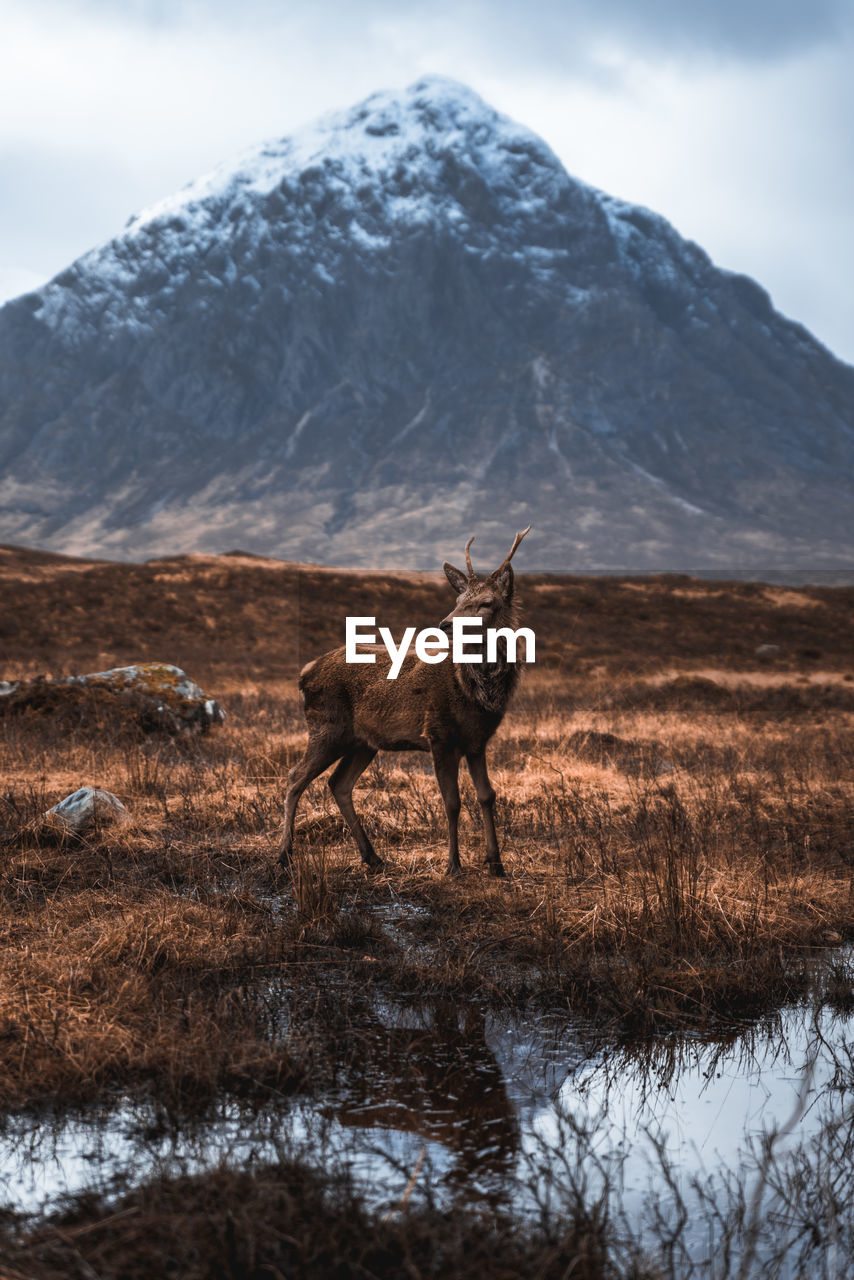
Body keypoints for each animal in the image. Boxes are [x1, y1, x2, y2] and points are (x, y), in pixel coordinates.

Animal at [280, 524, 530, 875]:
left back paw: (372, 856)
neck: (476, 694)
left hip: (362, 741)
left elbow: (487, 795)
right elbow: (452, 801)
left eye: (487, 602)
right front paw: (453, 865)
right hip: (326, 727)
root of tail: (305, 672)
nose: (446, 624)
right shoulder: (438, 734)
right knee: (294, 779)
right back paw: (284, 853)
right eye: (458, 599)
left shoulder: (477, 741)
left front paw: (496, 863)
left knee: (338, 783)